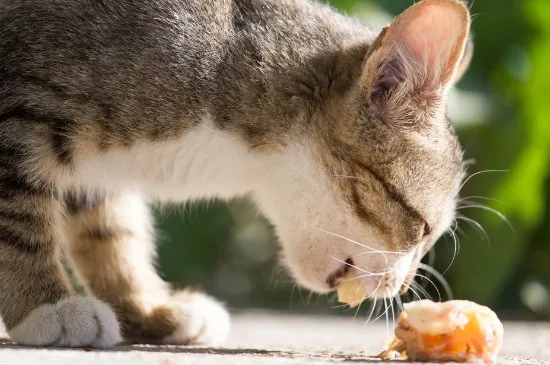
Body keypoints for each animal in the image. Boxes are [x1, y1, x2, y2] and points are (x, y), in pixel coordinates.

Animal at [0, 0, 474, 346]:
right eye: (423, 228)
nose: (402, 286)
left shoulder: (98, 172)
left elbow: (112, 232)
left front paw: (146, 307)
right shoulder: (21, 106)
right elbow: (17, 221)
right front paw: (45, 305)